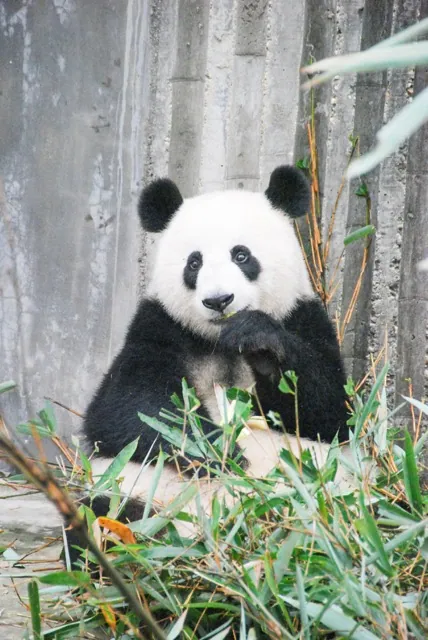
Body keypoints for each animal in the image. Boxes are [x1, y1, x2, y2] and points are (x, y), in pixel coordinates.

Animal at [70, 165, 350, 547]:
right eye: (194, 262)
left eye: (241, 255)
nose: (219, 300)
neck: (219, 340)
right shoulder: (159, 327)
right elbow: (127, 410)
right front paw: (221, 453)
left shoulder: (303, 317)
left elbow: (329, 412)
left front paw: (260, 342)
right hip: (133, 491)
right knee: (100, 517)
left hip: (325, 496)